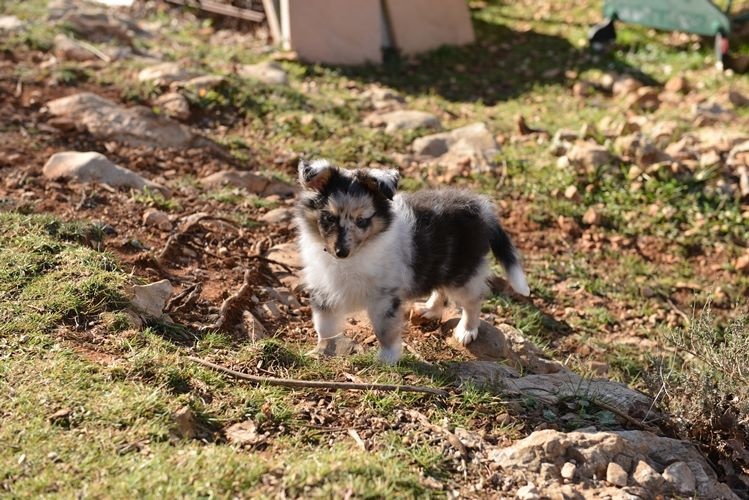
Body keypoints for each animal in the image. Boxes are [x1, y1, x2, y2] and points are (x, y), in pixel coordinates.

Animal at [296, 159, 528, 364]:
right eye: (329, 218)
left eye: (362, 221)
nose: (340, 252)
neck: (355, 257)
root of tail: (480, 207)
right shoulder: (323, 290)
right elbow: (324, 326)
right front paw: (322, 351)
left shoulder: (384, 299)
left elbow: (385, 330)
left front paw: (387, 359)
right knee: (440, 288)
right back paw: (429, 309)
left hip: (462, 275)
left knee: (473, 301)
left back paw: (466, 330)